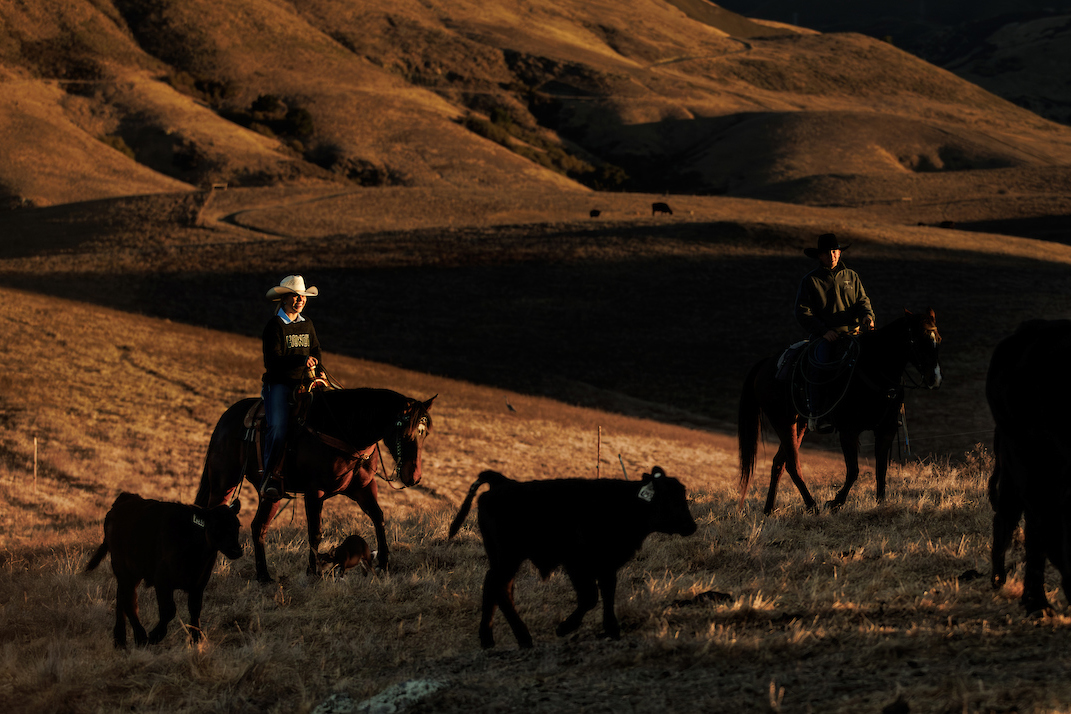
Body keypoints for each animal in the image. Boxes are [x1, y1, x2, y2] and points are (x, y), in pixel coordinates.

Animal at [84, 492, 243, 646]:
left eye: (238, 526)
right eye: (216, 526)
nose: (236, 550)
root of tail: (126, 498)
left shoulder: (199, 583)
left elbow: (195, 609)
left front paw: (196, 639)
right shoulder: (162, 579)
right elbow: (169, 610)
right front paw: (155, 635)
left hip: (132, 573)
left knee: (123, 597)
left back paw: (121, 640)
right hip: (123, 567)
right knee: (128, 600)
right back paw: (140, 637)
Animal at [194, 387, 432, 582]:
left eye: (425, 433)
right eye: (406, 432)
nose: (414, 477)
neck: (343, 428)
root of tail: (226, 417)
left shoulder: (363, 487)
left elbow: (378, 517)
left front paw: (383, 562)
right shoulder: (314, 491)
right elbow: (315, 531)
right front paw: (313, 571)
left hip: (271, 494)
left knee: (259, 527)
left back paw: (264, 576)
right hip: (224, 482)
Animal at [447, 466, 698, 650]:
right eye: (668, 498)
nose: (691, 525)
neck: (622, 505)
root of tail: (503, 482)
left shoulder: (607, 565)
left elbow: (608, 593)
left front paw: (612, 629)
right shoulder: (577, 564)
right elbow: (590, 597)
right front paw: (565, 628)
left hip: (501, 558)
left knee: (493, 585)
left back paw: (489, 639)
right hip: (509, 557)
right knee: (499, 587)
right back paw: (523, 638)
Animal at [741, 308, 942, 513]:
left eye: (938, 340)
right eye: (916, 340)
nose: (934, 378)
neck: (874, 372)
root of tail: (767, 363)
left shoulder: (887, 429)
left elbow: (881, 469)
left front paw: (881, 503)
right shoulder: (848, 431)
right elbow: (853, 471)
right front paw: (834, 502)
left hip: (800, 425)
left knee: (779, 463)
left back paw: (769, 509)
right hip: (782, 421)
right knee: (792, 463)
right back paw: (812, 505)